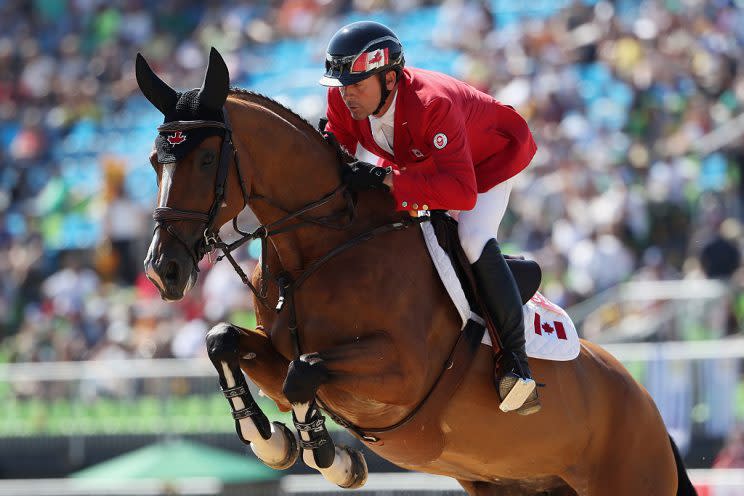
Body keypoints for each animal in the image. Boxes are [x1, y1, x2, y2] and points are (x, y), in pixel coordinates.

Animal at [135, 47, 696, 496]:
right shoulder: (277, 351)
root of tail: (647, 407)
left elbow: (304, 372)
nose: (163, 271)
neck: (319, 249)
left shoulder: (402, 374)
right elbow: (224, 341)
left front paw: (332, 458)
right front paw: (273, 443)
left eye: (207, 161)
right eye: (154, 162)